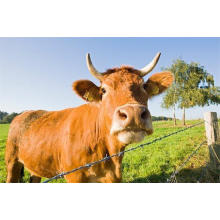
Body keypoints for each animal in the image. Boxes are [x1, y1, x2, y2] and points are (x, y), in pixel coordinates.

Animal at [5, 52, 174, 183]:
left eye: (143, 86)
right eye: (104, 90)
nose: (133, 114)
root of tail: (25, 113)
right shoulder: (74, 176)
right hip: (11, 161)